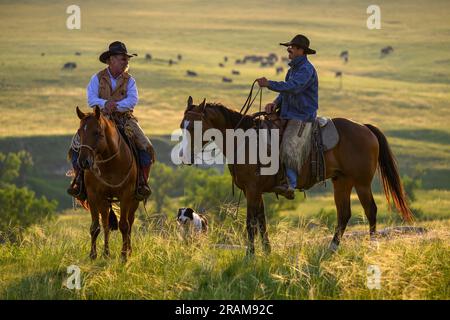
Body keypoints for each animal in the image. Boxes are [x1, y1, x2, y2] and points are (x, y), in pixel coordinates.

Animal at [75, 106, 140, 262]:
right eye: (79, 132)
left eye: (96, 132)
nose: (83, 162)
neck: (110, 164)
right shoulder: (93, 195)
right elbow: (95, 226)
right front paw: (93, 255)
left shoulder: (126, 195)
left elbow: (124, 225)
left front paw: (123, 256)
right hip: (104, 201)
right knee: (105, 223)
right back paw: (106, 253)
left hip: (134, 200)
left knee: (130, 221)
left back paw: (129, 251)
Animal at [179, 97, 412, 255]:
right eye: (183, 126)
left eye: (195, 127)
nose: (183, 156)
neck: (245, 141)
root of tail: (365, 128)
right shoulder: (255, 191)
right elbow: (262, 222)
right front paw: (267, 252)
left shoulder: (253, 190)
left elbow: (250, 223)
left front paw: (250, 256)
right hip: (342, 182)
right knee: (344, 214)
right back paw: (331, 249)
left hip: (362, 183)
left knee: (370, 210)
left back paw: (372, 247)